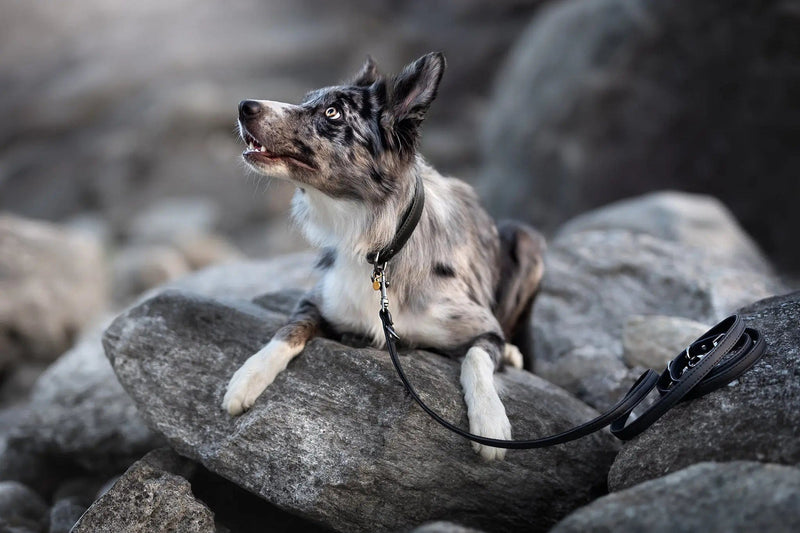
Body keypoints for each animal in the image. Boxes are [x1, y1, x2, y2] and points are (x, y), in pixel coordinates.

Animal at [222, 54, 544, 460]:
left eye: (332, 112)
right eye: (306, 100)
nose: (244, 106)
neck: (380, 248)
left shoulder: (481, 325)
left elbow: (476, 358)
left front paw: (490, 420)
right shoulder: (319, 300)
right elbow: (288, 331)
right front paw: (247, 377)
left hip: (527, 240)